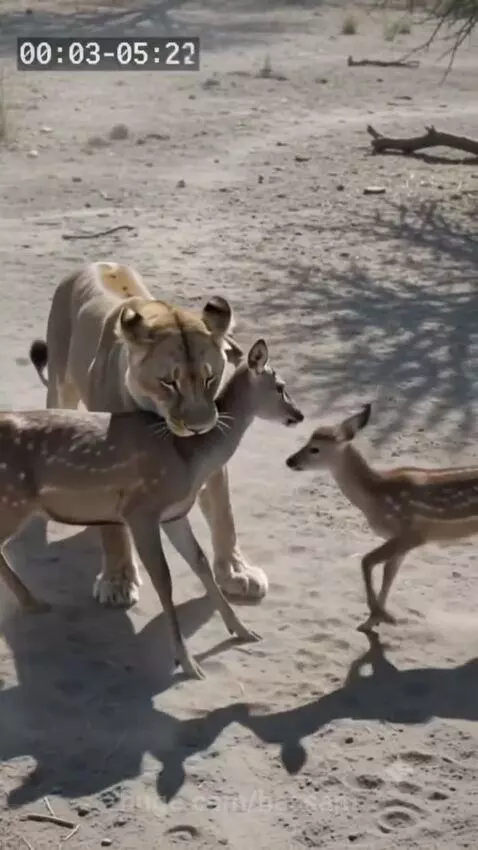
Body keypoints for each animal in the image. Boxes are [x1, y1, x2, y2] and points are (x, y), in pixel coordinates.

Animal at [0, 339, 303, 679]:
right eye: (280, 386)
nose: (299, 415)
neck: (188, 458)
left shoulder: (174, 513)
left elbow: (199, 563)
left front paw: (242, 631)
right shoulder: (140, 509)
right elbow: (164, 580)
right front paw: (188, 663)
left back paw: (33, 603)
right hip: (12, 500)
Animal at [28, 262, 269, 606]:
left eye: (210, 378)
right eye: (169, 382)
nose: (199, 426)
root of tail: (95, 264)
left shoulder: (211, 460)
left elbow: (224, 515)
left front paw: (237, 573)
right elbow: (114, 532)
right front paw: (117, 581)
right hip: (61, 387)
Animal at [285, 402, 478, 633]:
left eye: (315, 448)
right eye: (307, 441)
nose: (290, 461)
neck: (375, 496)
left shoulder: (412, 534)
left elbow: (366, 561)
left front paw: (382, 615)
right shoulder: (399, 540)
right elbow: (389, 572)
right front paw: (373, 619)